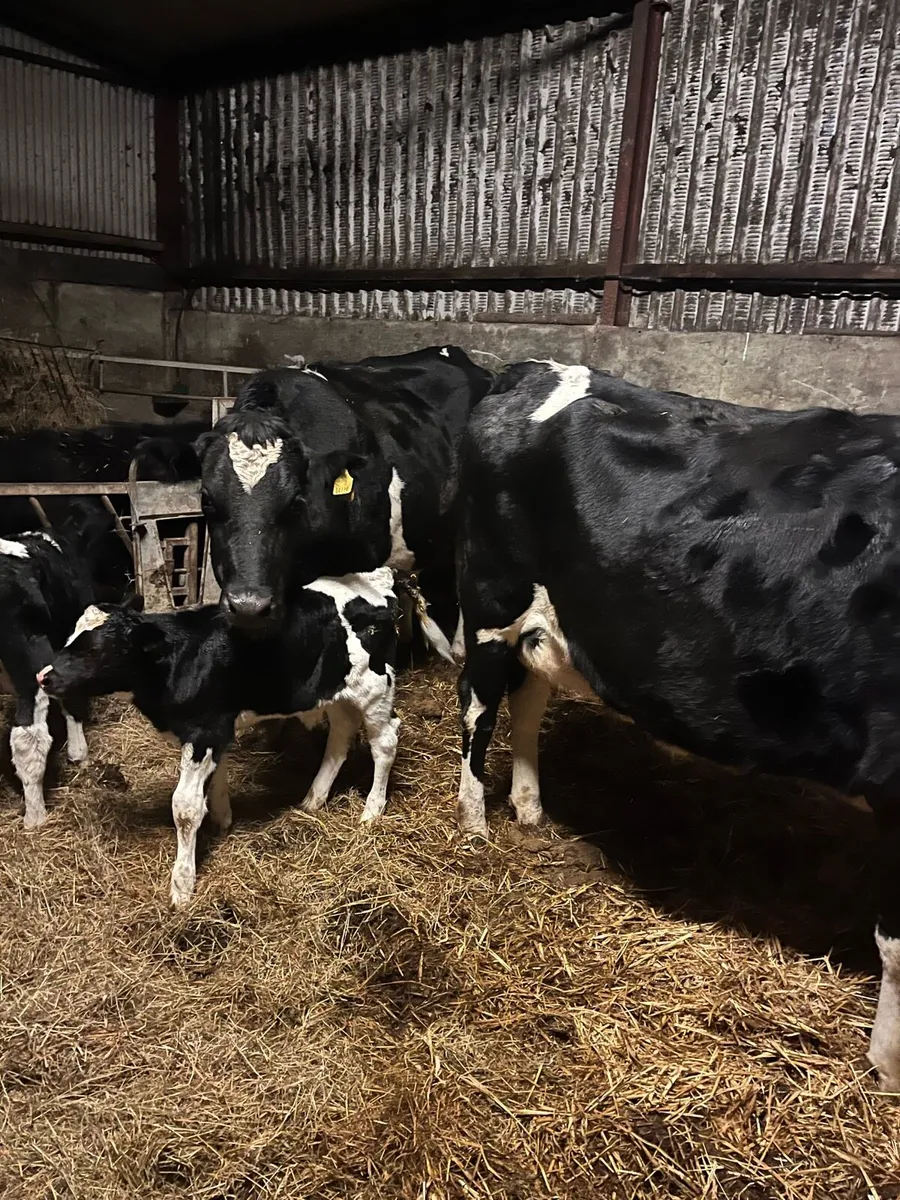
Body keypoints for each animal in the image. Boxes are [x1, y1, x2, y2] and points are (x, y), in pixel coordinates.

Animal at [38, 568, 401, 906]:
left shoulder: (203, 732)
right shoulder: (216, 729)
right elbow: (216, 781)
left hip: (375, 689)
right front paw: (222, 820)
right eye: (69, 636)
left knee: (385, 743)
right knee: (340, 737)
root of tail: (373, 580)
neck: (178, 659)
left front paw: (182, 885)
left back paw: (371, 812)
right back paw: (313, 799)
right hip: (338, 694)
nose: (43, 677)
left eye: (95, 648)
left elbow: (185, 808)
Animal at [454, 358, 900, 1093]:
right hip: (491, 601)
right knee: (477, 709)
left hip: (549, 619)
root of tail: (534, 367)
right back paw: (473, 825)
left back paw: (528, 806)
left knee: (530, 699)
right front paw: (889, 1068)